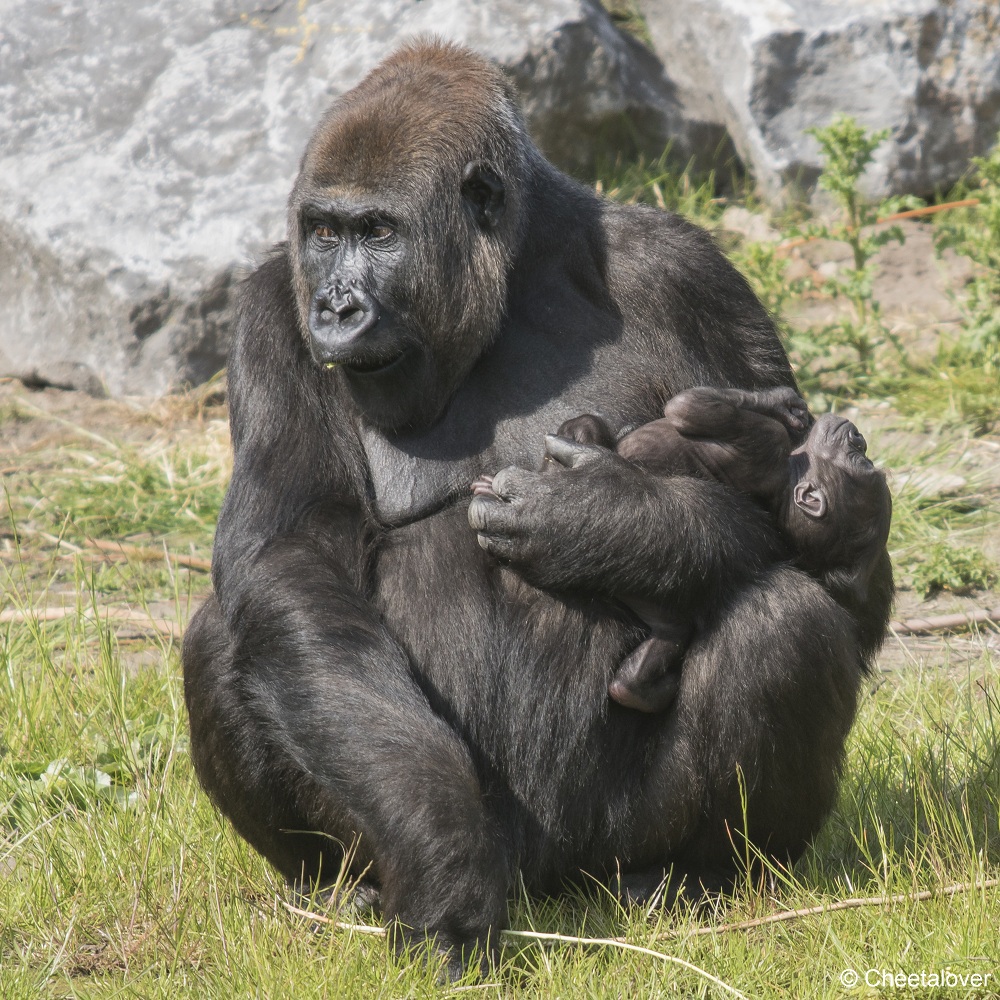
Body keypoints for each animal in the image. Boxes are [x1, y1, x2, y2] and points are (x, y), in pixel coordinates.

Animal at [476, 386, 892, 716]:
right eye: (866, 462)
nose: (859, 439)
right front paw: (785, 403)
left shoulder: (763, 440)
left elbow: (689, 407)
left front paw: (771, 401)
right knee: (670, 636)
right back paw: (645, 688)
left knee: (585, 430)